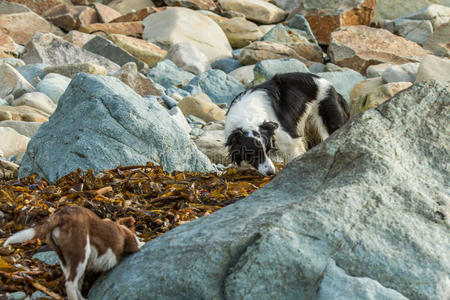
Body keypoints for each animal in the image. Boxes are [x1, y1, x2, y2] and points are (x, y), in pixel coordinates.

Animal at [3, 206, 144, 300]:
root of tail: (60, 216)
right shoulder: (132, 244)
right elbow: (139, 244)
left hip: (65, 259)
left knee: (74, 283)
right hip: (80, 252)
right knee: (71, 283)